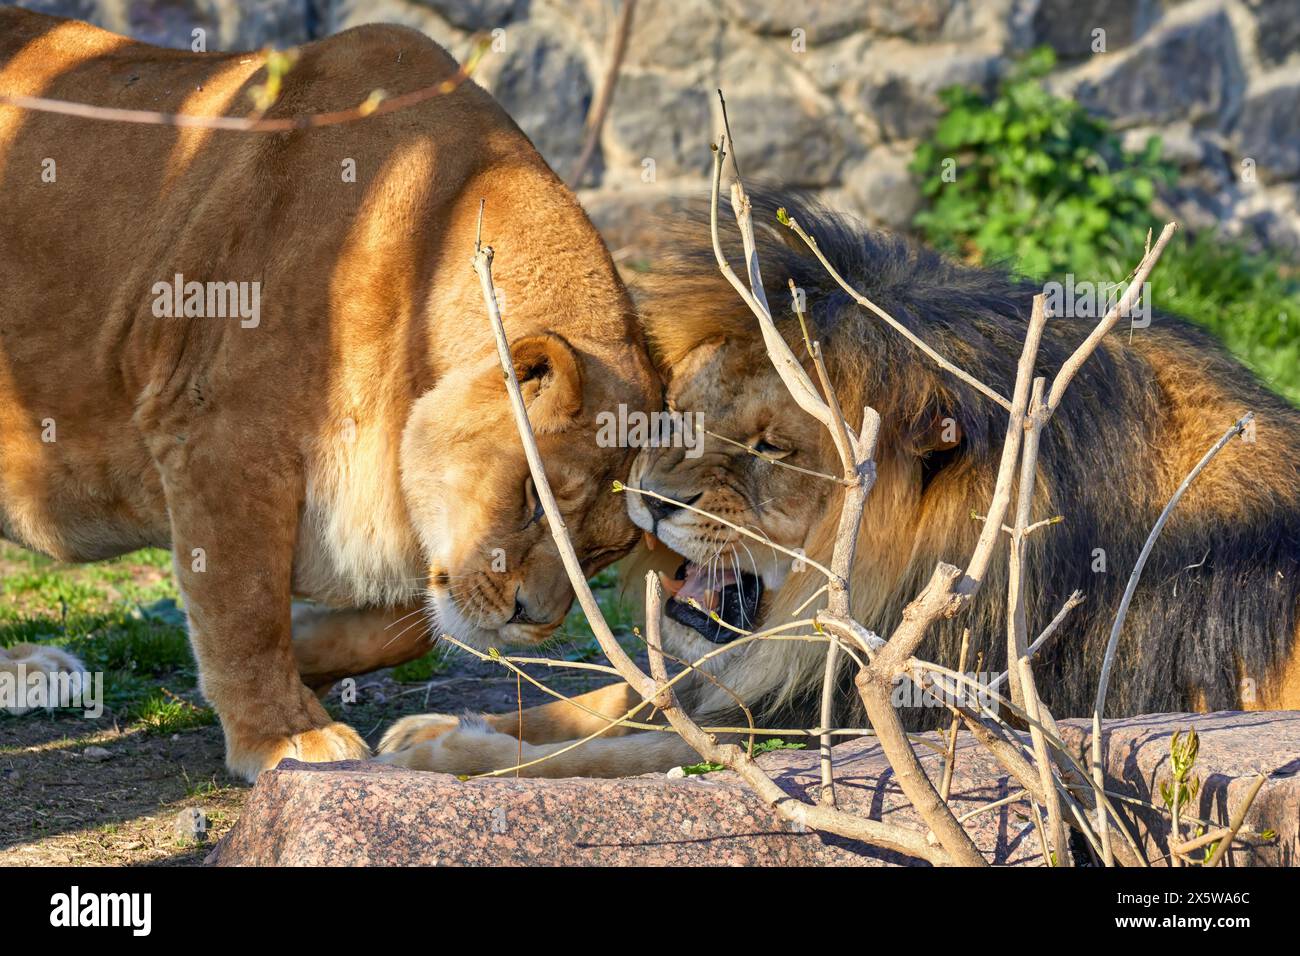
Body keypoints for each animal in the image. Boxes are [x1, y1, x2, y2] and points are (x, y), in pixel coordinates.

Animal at [0, 10, 657, 780]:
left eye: (604, 554)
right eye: (533, 499)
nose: (534, 620)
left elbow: (408, 629)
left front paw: (308, 648)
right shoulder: (219, 435)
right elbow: (245, 604)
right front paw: (284, 733)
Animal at [378, 195, 1300, 778]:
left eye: (772, 449)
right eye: (683, 414)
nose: (653, 501)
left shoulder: (878, 717)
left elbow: (622, 747)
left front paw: (452, 752)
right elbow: (621, 697)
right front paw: (430, 725)